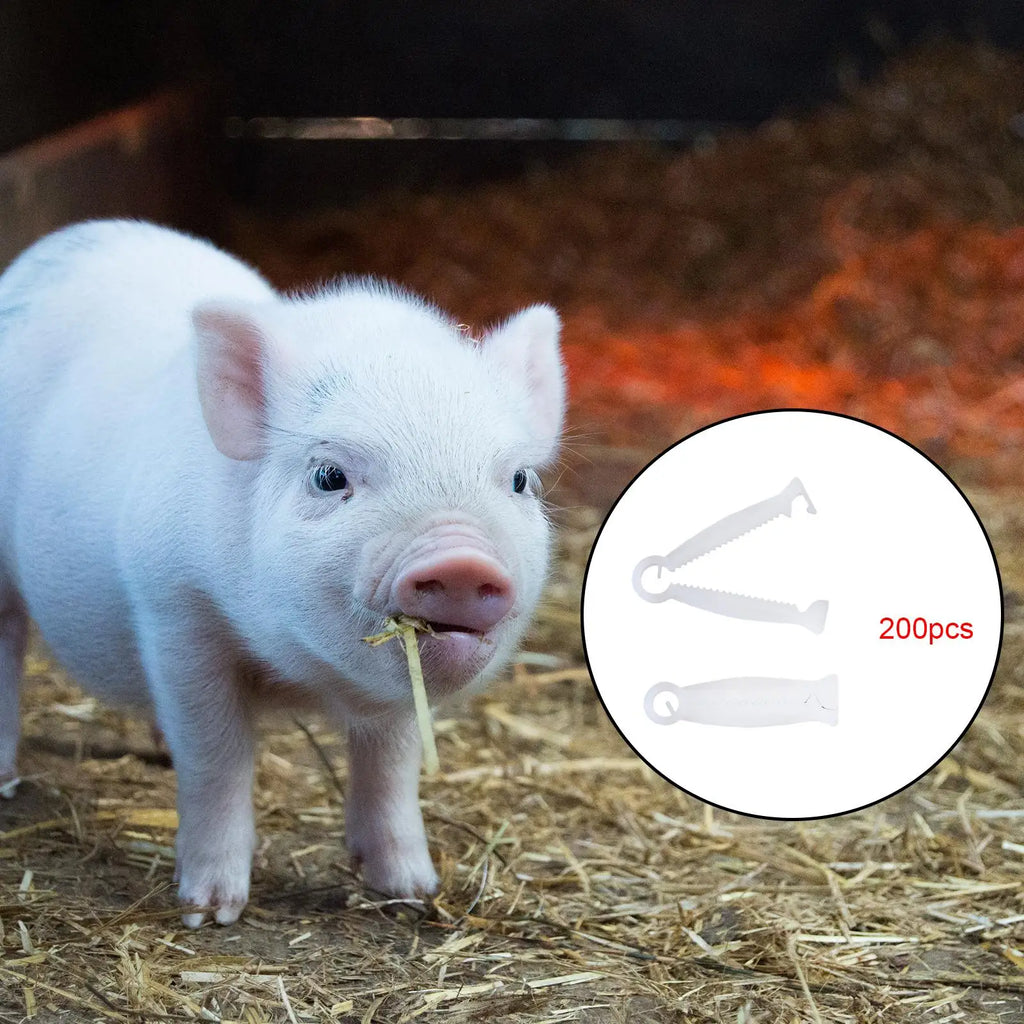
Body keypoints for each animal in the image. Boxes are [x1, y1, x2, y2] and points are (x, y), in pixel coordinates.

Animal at [0, 219, 564, 927]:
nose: (461, 560)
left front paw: (412, 892)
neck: (302, 677)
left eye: (519, 480)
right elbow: (216, 757)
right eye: (328, 475)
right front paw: (209, 912)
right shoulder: (174, 609)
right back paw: (5, 780)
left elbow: (391, 767)